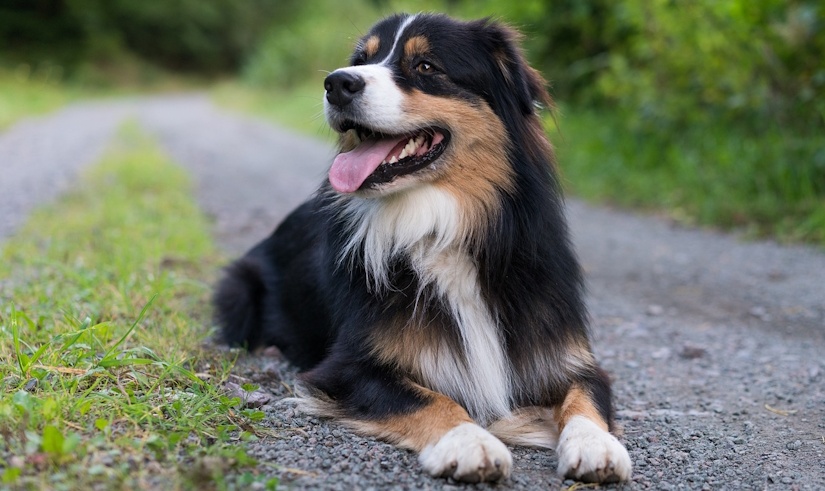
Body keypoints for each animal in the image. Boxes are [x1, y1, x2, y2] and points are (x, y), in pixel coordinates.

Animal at [214, 11, 632, 484]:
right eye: (361, 60)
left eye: (426, 66)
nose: (336, 83)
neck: (441, 228)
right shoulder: (347, 367)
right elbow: (430, 398)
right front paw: (470, 443)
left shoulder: (566, 356)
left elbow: (585, 397)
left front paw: (597, 445)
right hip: (238, 288)